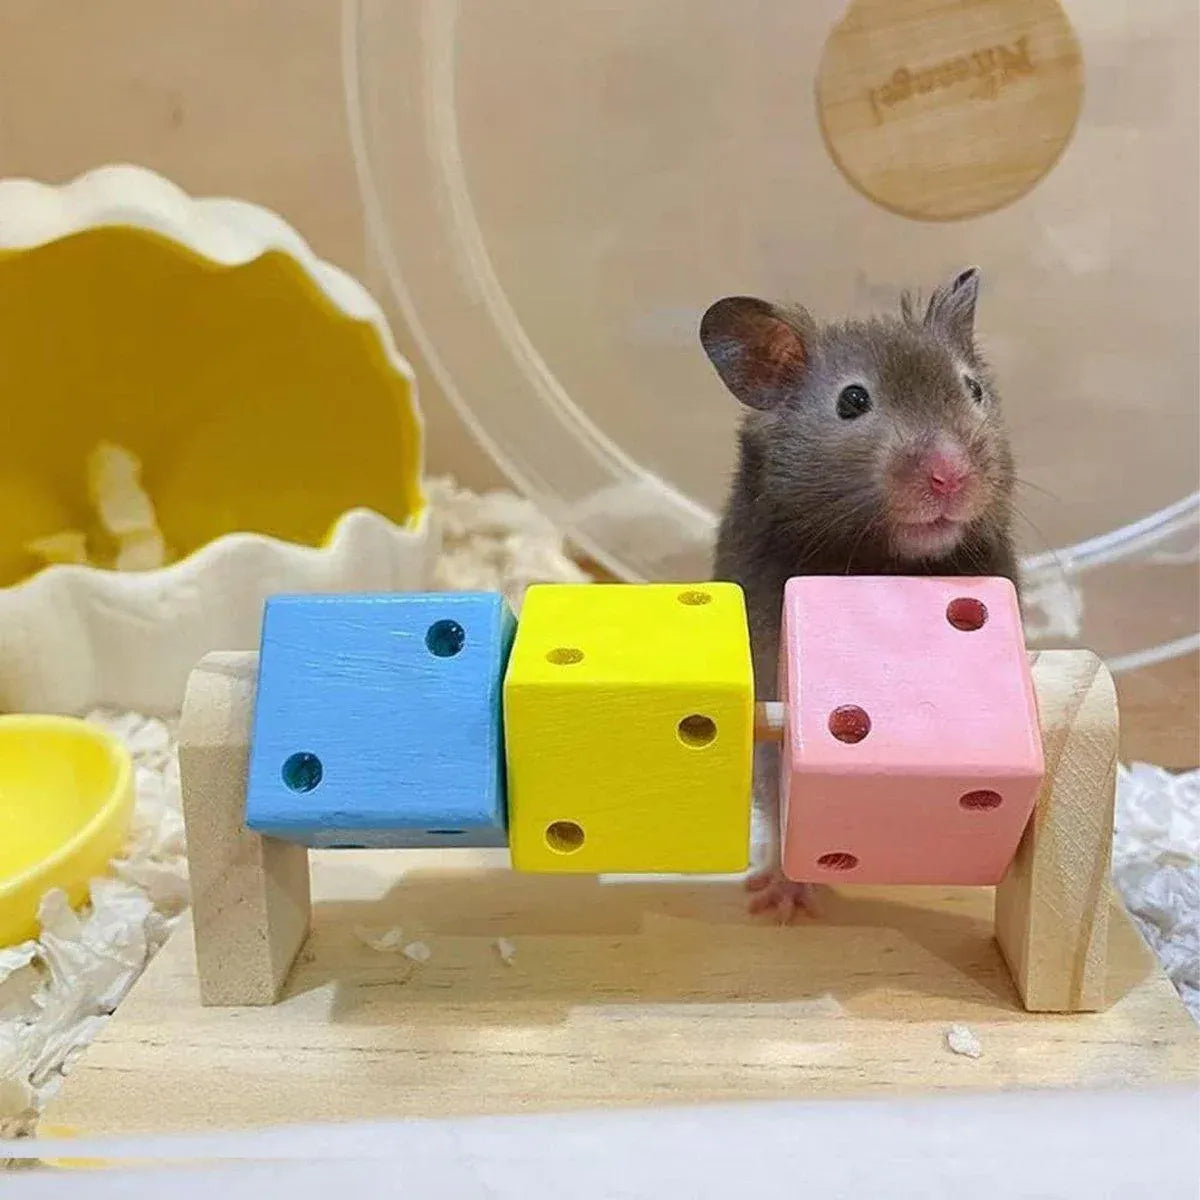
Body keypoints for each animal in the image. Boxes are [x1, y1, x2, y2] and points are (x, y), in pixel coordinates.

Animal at [700, 268, 1019, 920]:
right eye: (852, 401)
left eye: (973, 389)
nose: (950, 477)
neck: (886, 559)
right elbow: (783, 796)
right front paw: (781, 904)